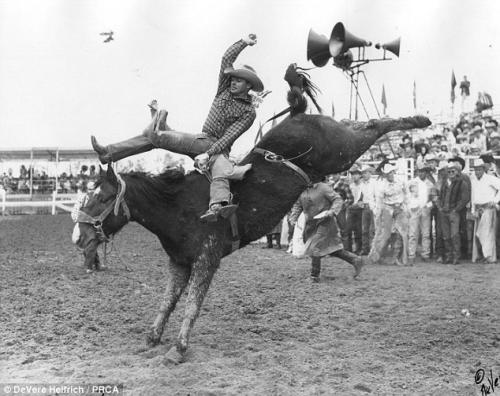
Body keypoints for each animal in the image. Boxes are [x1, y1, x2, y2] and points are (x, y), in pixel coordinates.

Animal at [72, 88, 432, 364]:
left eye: (101, 197)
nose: (81, 236)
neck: (176, 206)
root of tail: (298, 114)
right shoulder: (178, 262)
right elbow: (168, 300)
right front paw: (153, 336)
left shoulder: (206, 259)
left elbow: (191, 304)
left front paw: (178, 349)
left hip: (341, 149)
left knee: (371, 124)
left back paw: (419, 120)